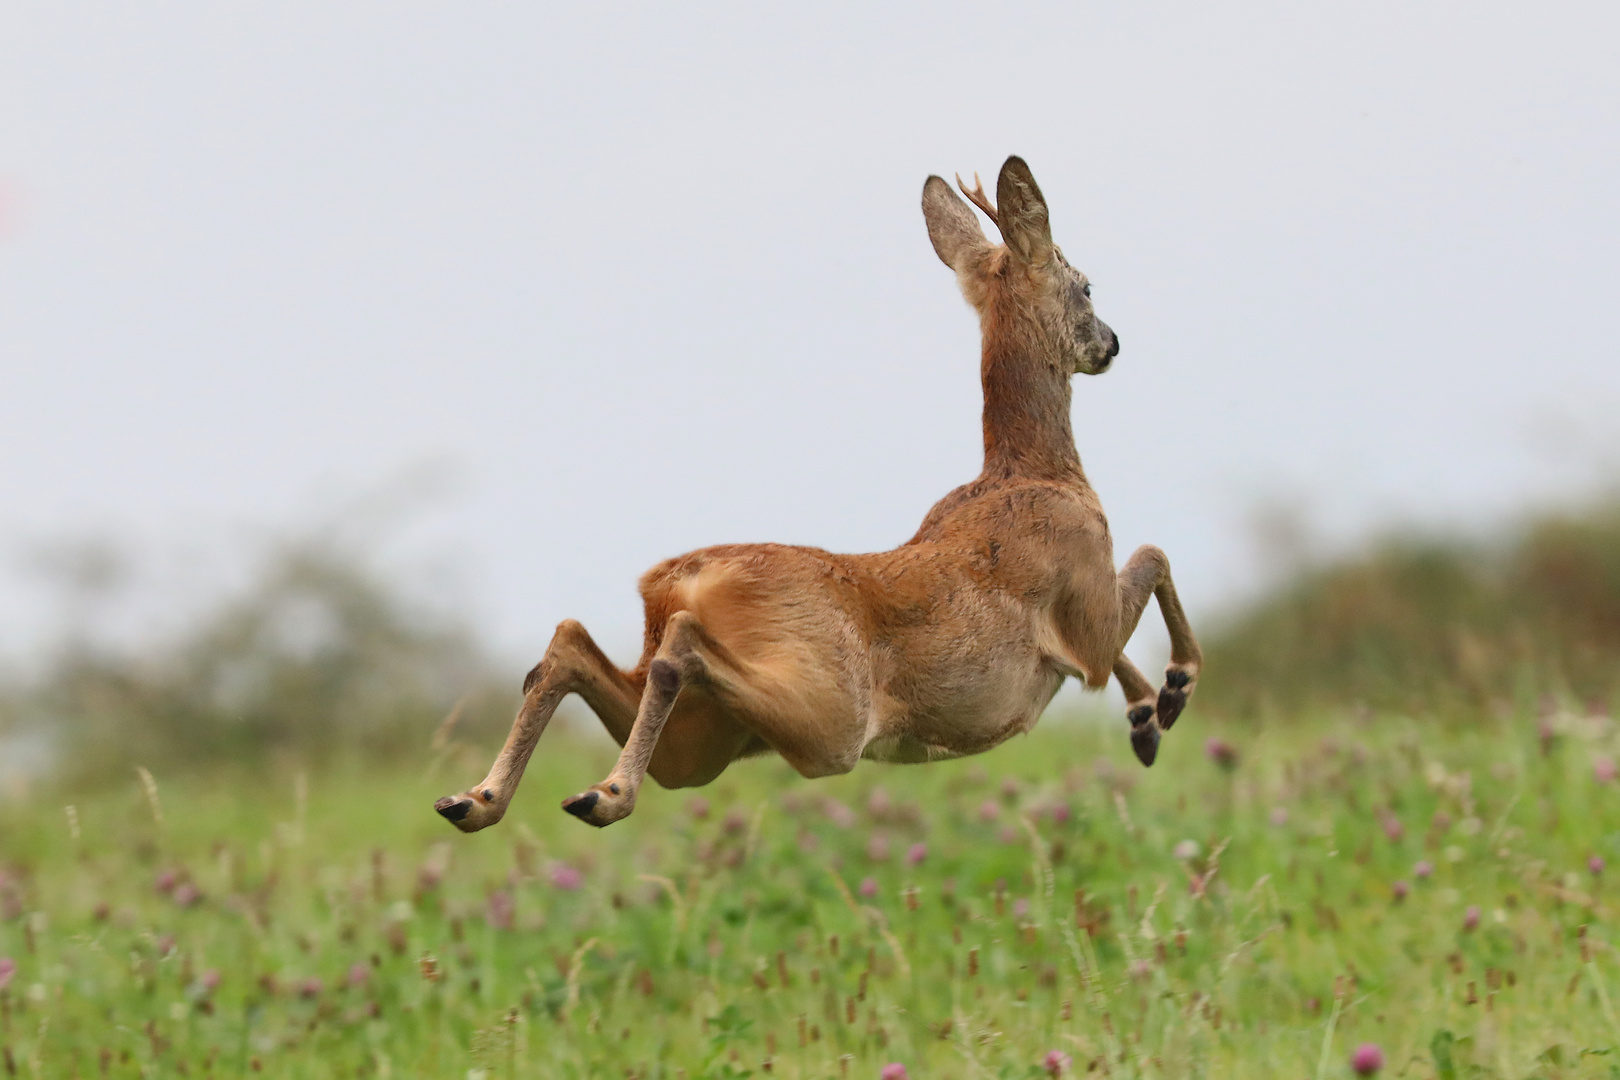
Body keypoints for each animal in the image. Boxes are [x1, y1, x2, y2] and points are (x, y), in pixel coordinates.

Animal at [437, 156, 1198, 835]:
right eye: (1087, 285)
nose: (1112, 343)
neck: (1036, 470)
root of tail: (679, 582)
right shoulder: (1085, 612)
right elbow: (1152, 557)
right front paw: (1172, 691)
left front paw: (1145, 719)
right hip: (828, 716)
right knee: (677, 650)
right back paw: (602, 793)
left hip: (706, 745)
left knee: (573, 645)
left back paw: (481, 800)